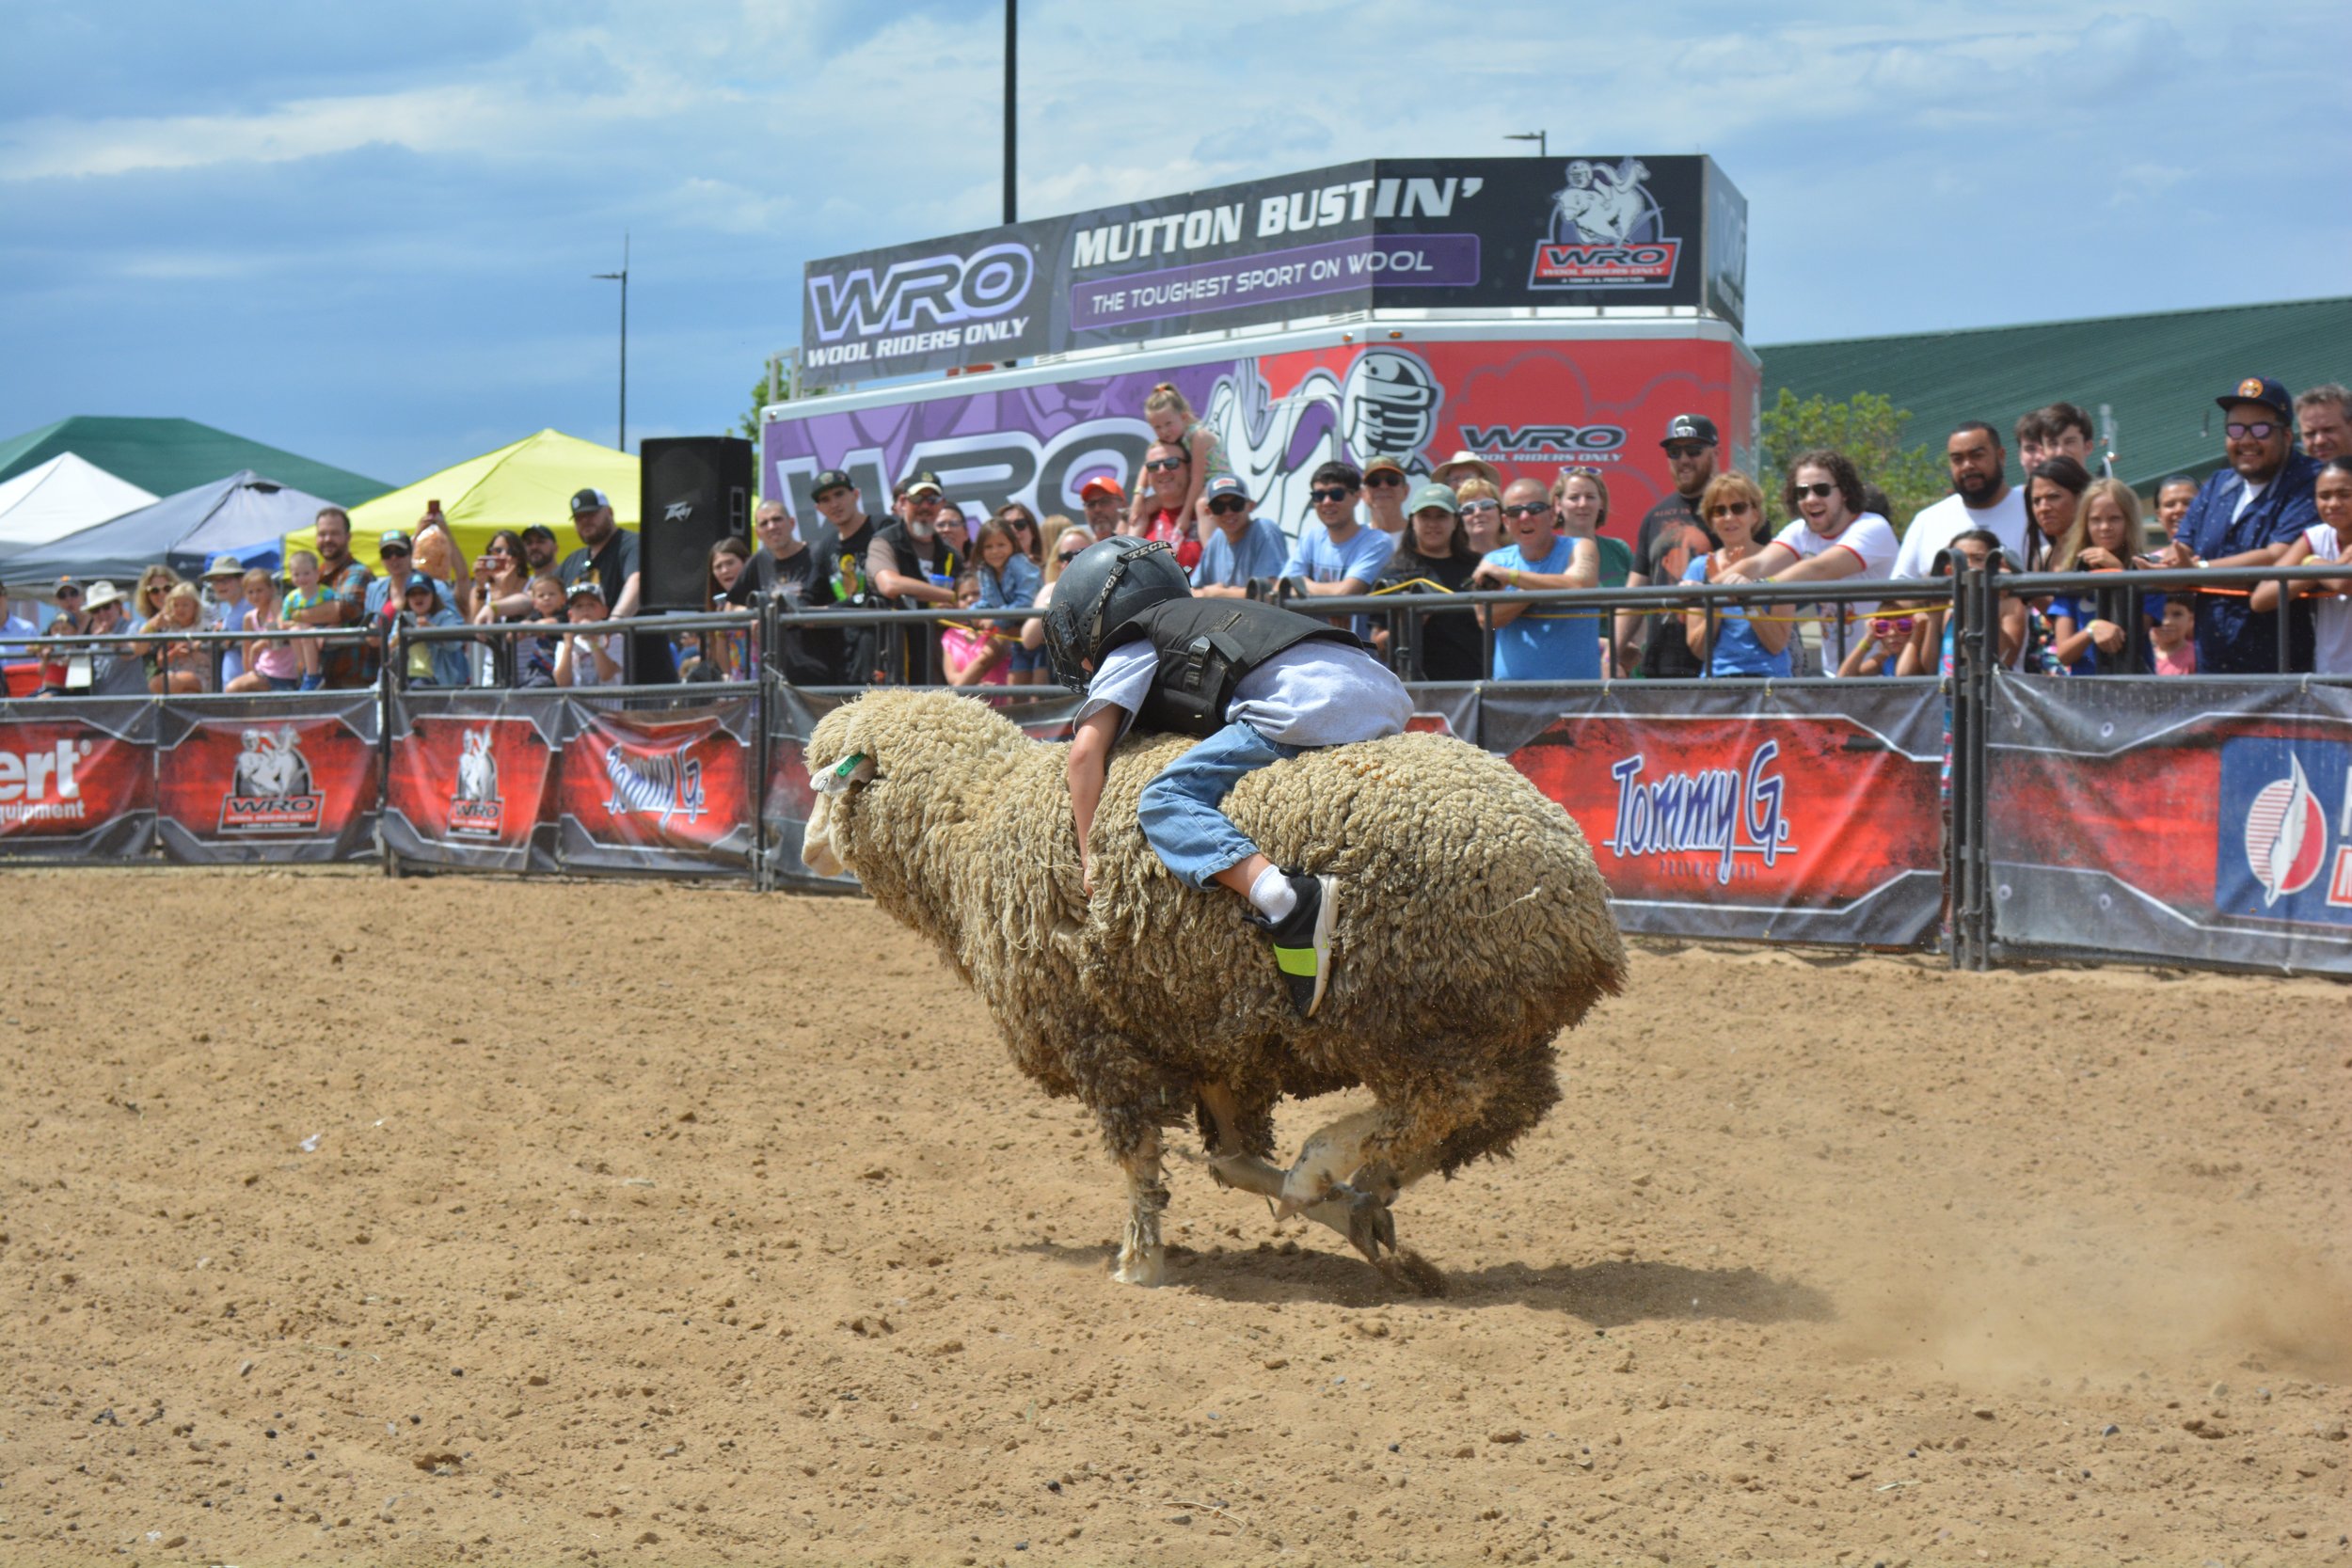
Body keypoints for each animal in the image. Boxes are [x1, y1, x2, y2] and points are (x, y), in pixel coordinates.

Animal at [801, 689, 1626, 1288]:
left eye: (829, 777)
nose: (805, 846)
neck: (973, 823)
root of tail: (1577, 897)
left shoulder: (1099, 1036)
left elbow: (1139, 1158)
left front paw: (1140, 1260)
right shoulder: (1213, 1036)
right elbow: (1231, 1162)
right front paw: (1351, 1219)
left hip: (1410, 1005)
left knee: (1447, 1097)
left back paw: (1324, 1160)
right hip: (1499, 1019)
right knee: (1496, 1110)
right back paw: (1375, 1182)